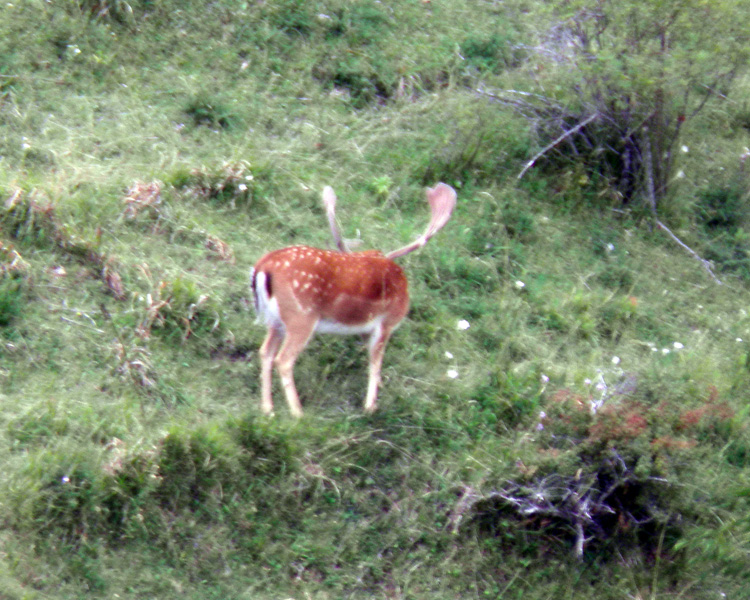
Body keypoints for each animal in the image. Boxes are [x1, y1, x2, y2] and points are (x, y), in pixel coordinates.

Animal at [251, 183, 458, 418]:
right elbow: (375, 362)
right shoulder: (387, 322)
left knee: (265, 352)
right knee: (284, 359)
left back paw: (268, 408)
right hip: (300, 316)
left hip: (275, 320)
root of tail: (263, 267)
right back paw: (298, 413)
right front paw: (370, 406)